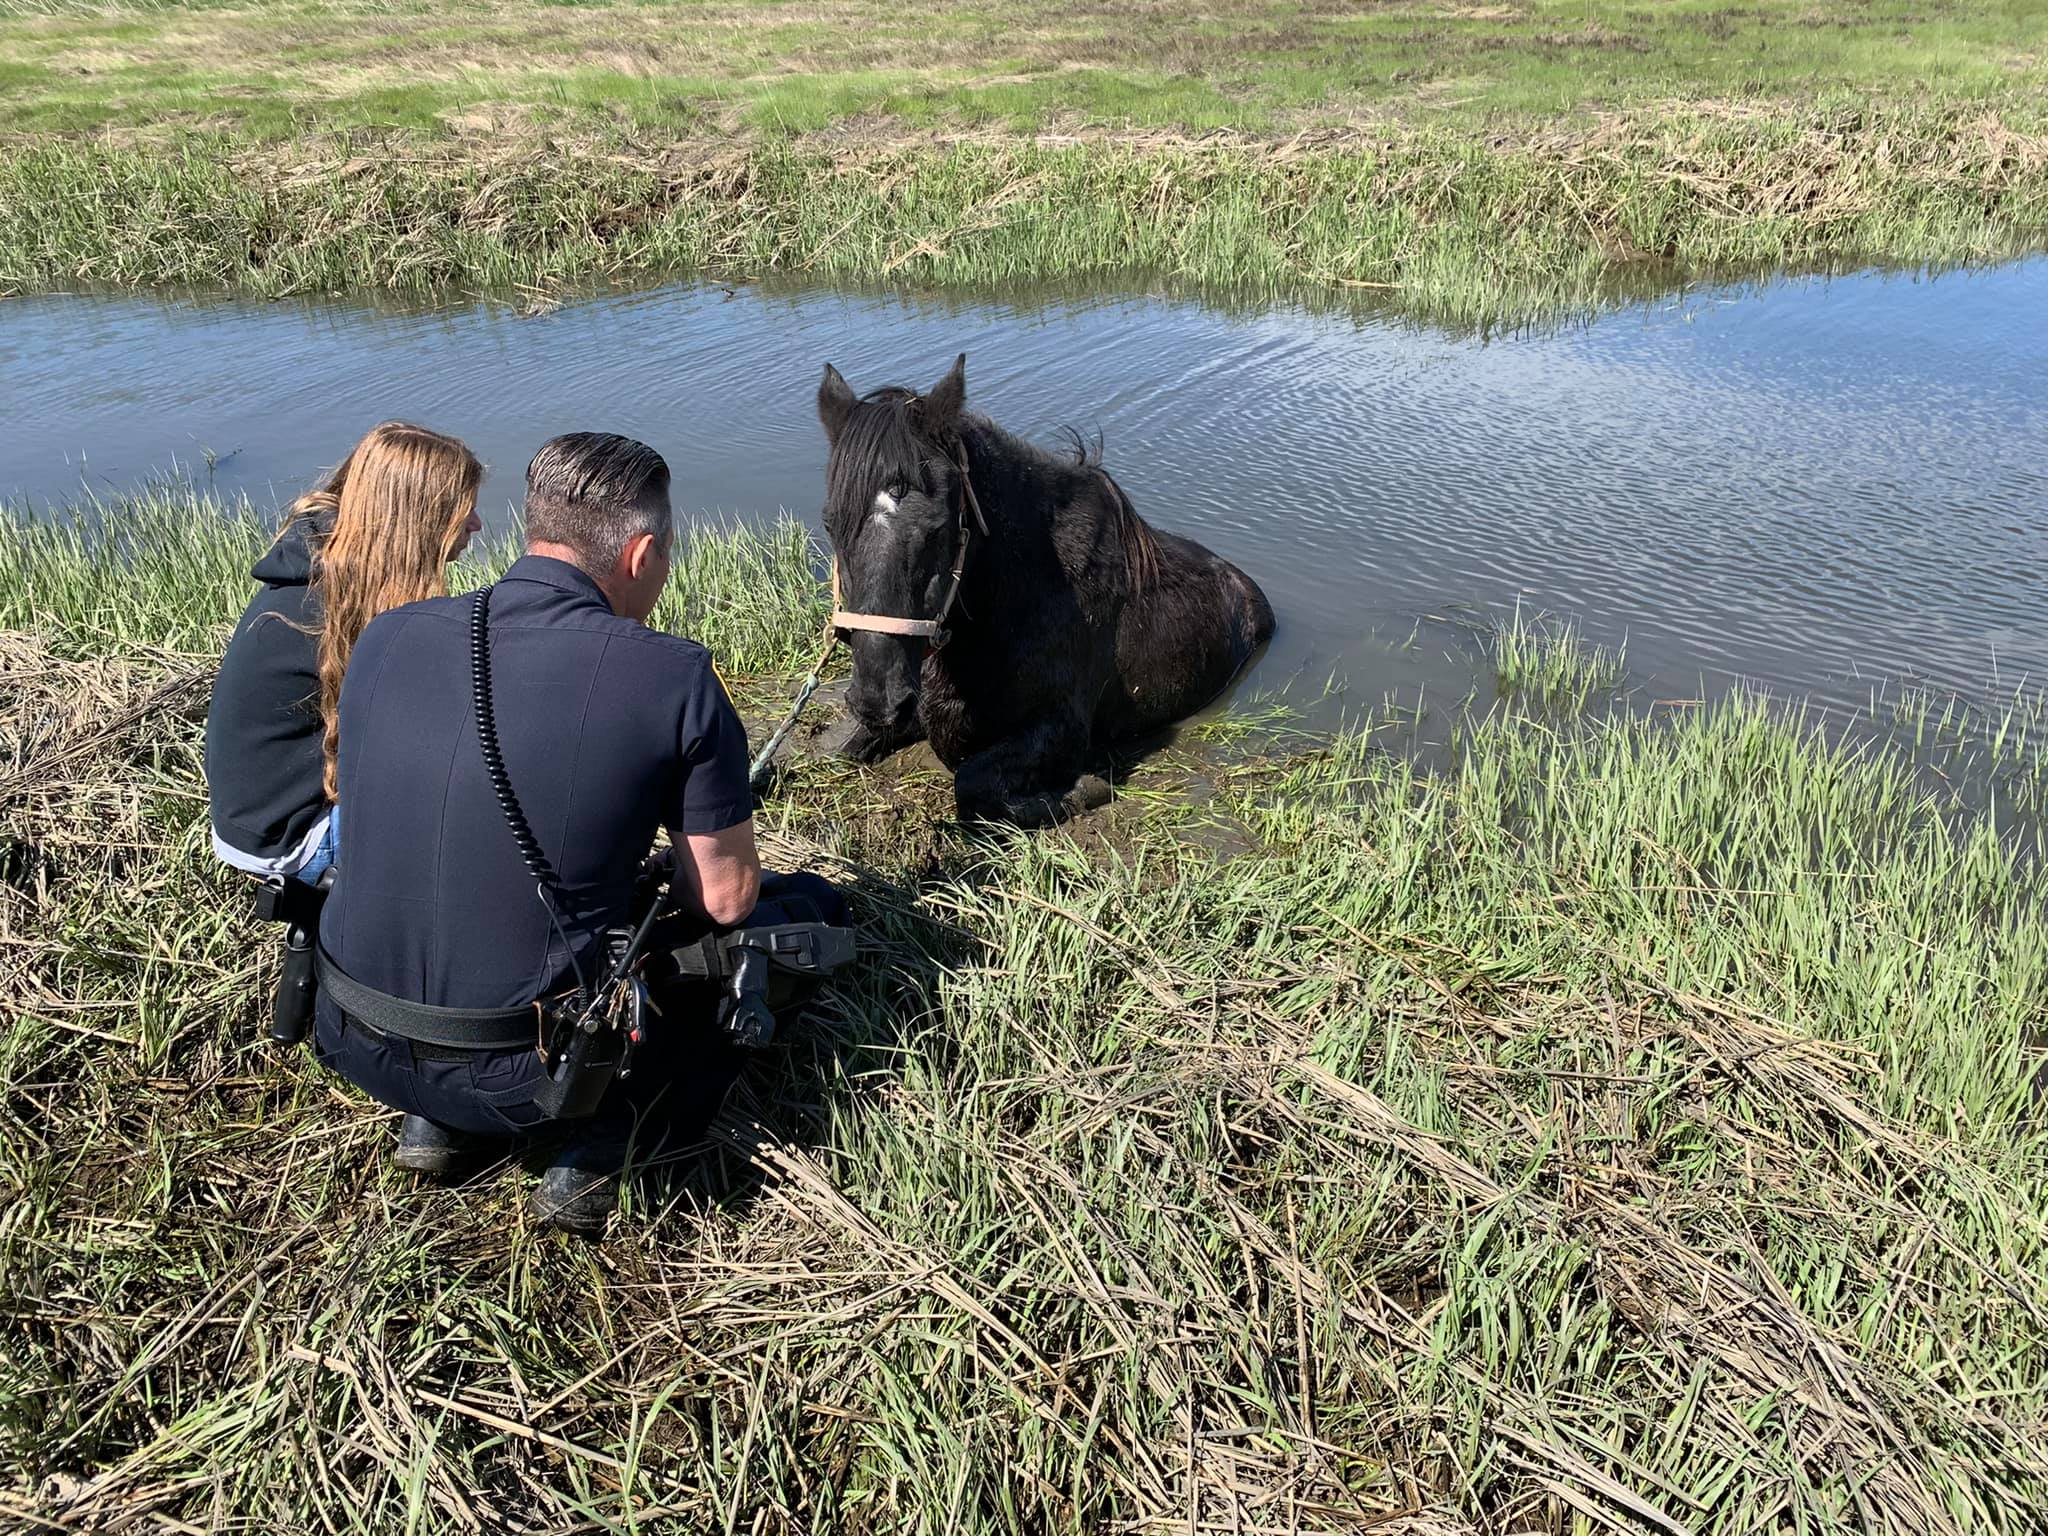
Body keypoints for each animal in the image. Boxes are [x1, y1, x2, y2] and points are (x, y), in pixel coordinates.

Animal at [819, 354, 1269, 831]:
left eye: (938, 526)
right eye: (831, 523)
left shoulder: (1061, 729)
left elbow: (972, 783)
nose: (878, 700)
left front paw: (1086, 790)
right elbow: (843, 751)